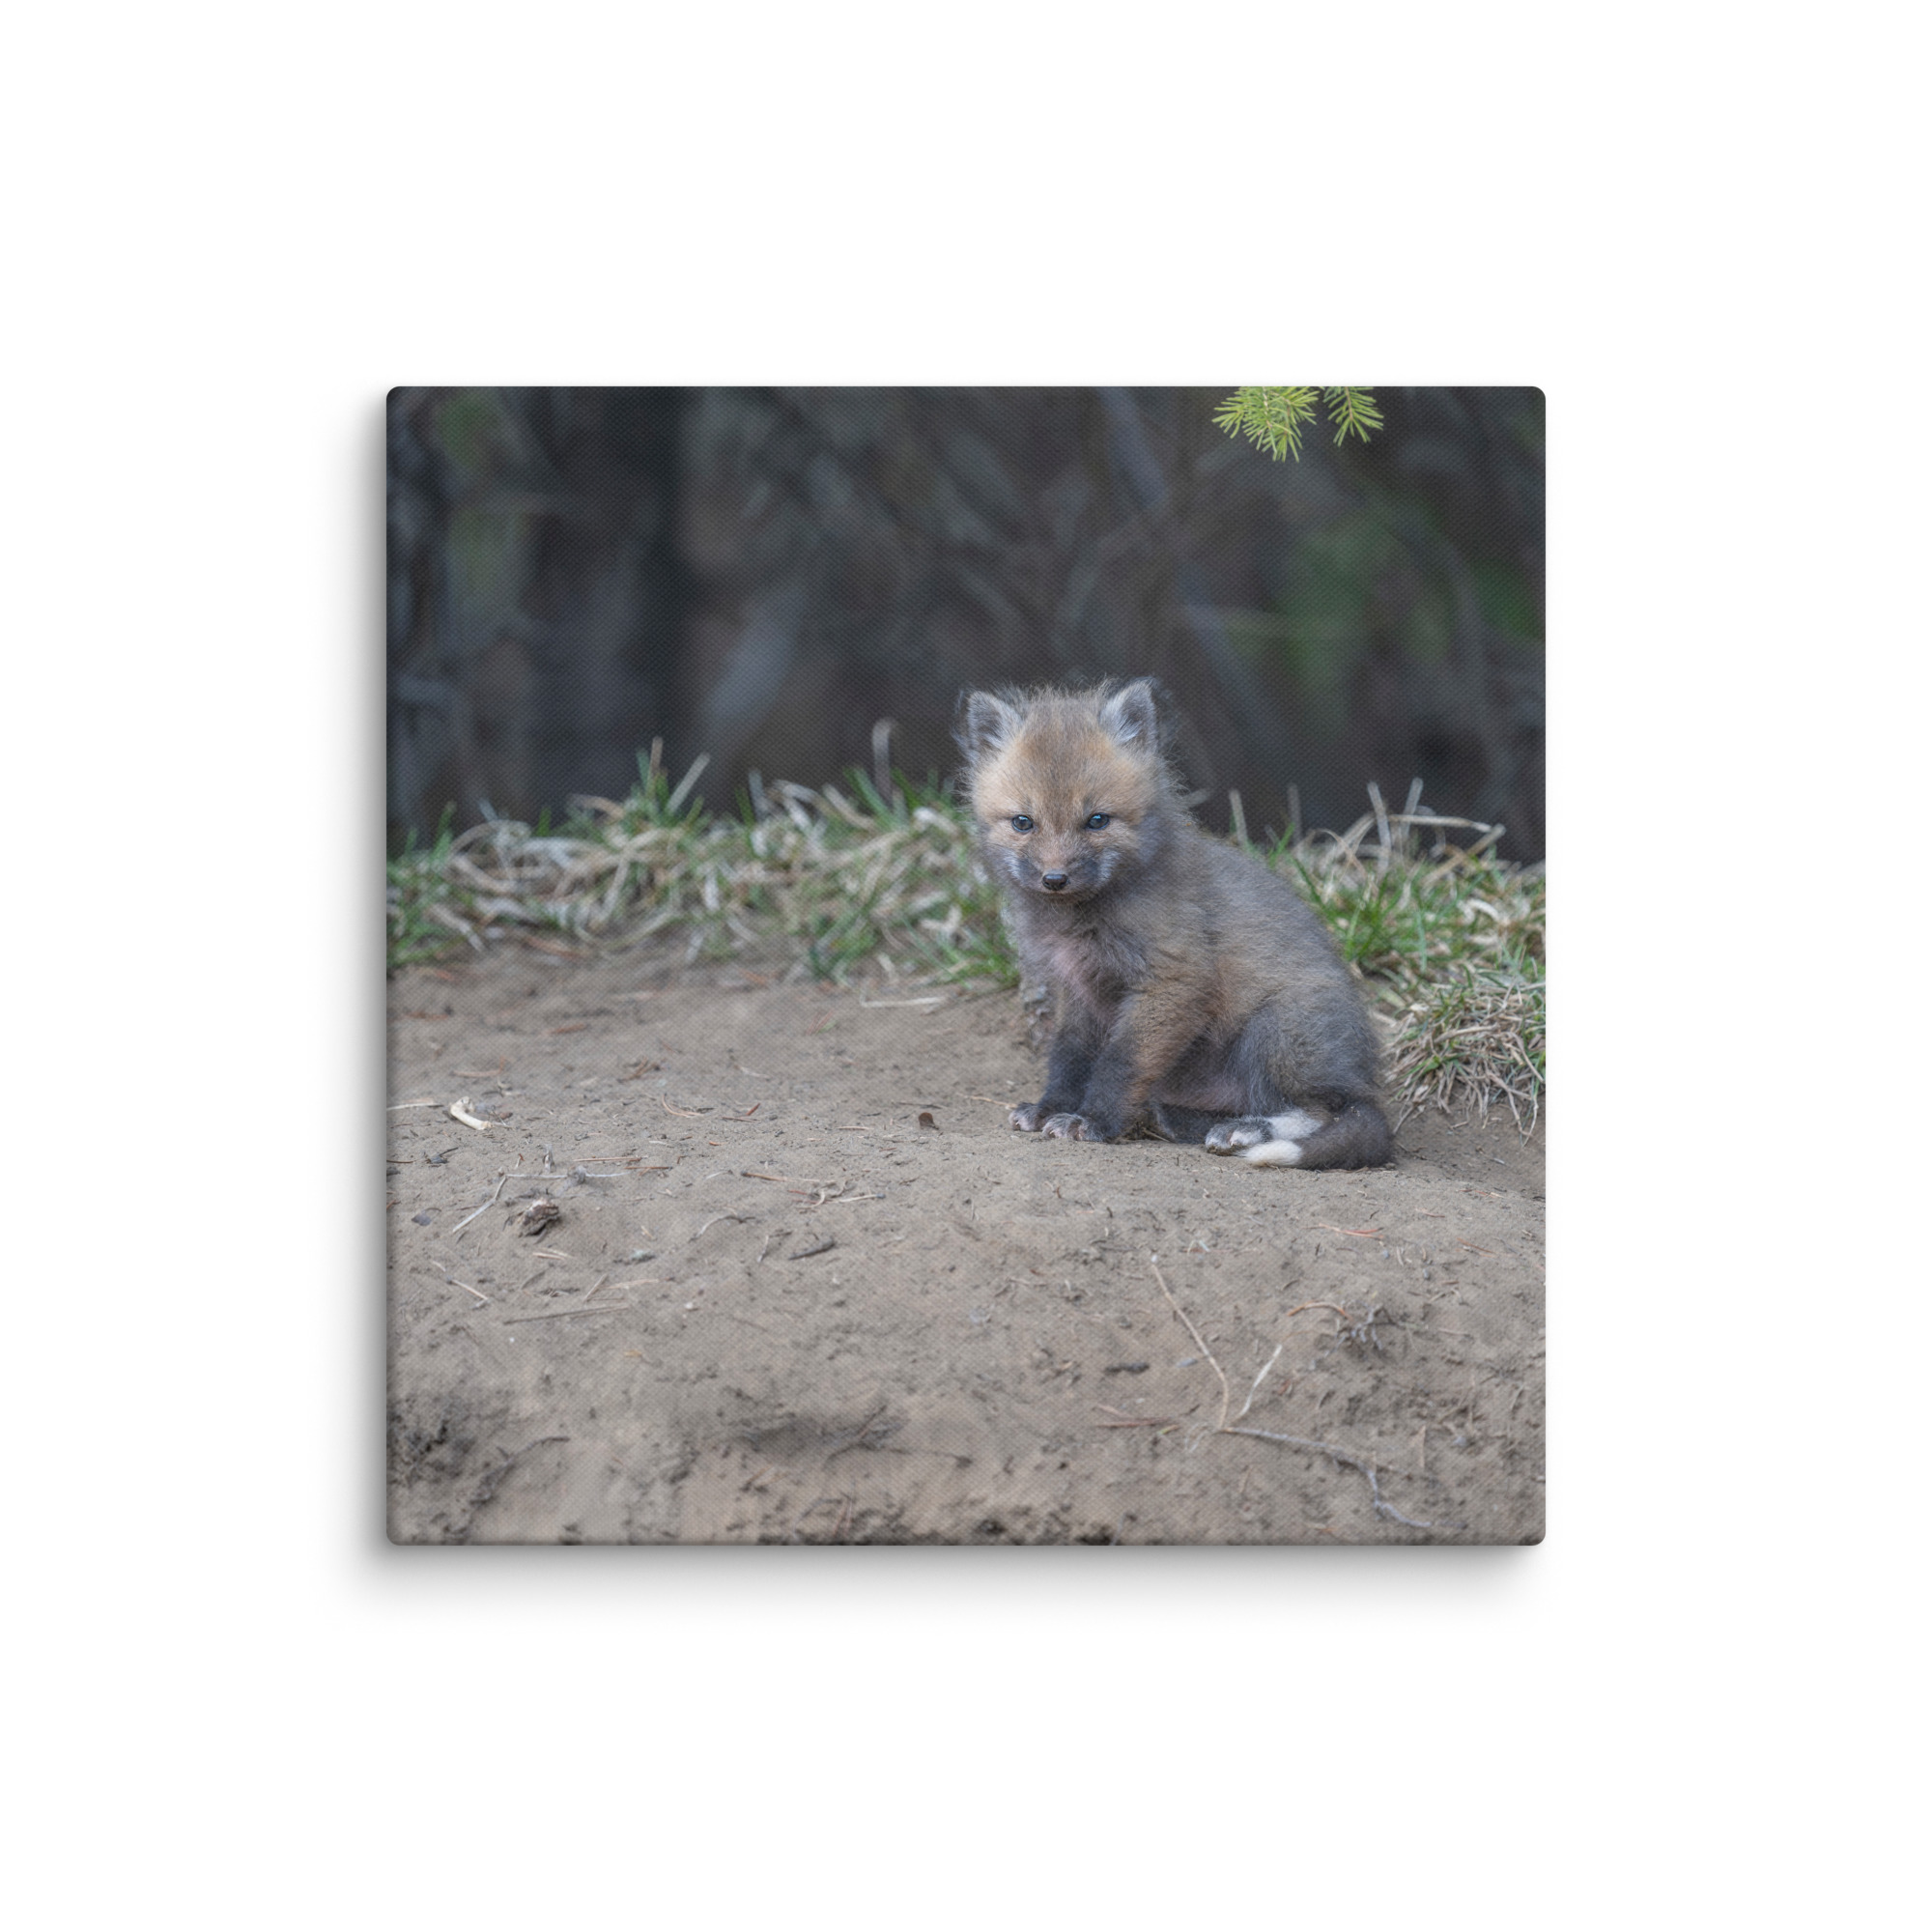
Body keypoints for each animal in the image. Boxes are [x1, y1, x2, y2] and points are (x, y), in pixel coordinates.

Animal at [956, 677, 1392, 1170]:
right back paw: (1182, 1120)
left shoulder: (1173, 979)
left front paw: (1094, 1122)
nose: (1055, 879)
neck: (1082, 920)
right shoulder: (1078, 989)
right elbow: (1069, 1058)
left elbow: (1120, 1063)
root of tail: (1362, 1076)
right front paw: (1051, 1108)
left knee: (1330, 1112)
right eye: (1023, 822)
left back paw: (1246, 1130)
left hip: (1276, 1031)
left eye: (1097, 820)